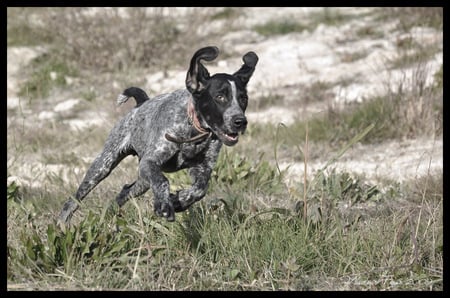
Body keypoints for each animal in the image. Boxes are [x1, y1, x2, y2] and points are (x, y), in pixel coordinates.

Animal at [58, 46, 258, 224]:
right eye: (220, 97)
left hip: (142, 181)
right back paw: (62, 222)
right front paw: (164, 204)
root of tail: (140, 104)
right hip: (103, 166)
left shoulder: (202, 168)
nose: (240, 121)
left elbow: (200, 188)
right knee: (75, 198)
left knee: (123, 193)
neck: (193, 130)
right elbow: (163, 181)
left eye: (243, 98)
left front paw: (179, 200)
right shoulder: (151, 162)